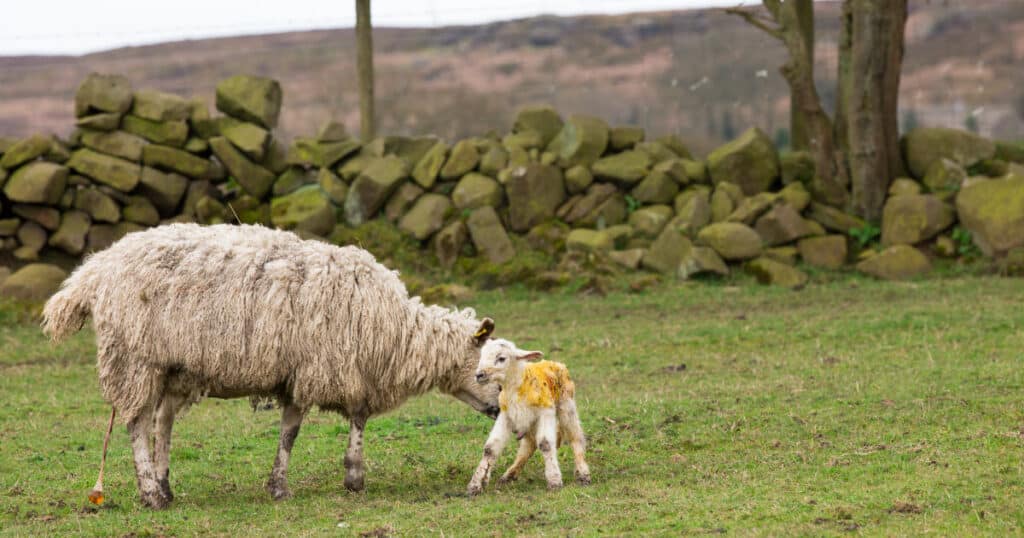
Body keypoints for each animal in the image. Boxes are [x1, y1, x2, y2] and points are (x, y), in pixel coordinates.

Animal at [44, 221, 499, 508]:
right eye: (486, 370)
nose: (498, 410)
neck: (399, 333)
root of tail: (94, 270)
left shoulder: (299, 371)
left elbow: (290, 432)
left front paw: (278, 485)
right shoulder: (334, 365)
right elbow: (355, 417)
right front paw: (354, 476)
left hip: (172, 366)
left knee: (162, 422)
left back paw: (164, 484)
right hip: (137, 358)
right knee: (137, 423)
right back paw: (151, 495)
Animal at [466, 338, 589, 493]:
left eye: (501, 358)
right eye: (482, 356)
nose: (479, 375)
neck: (517, 386)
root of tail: (556, 363)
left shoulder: (545, 411)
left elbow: (545, 444)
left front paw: (554, 481)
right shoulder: (506, 416)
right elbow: (490, 448)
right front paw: (475, 485)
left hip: (566, 405)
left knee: (575, 436)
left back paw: (583, 473)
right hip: (530, 421)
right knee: (529, 445)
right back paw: (509, 474)